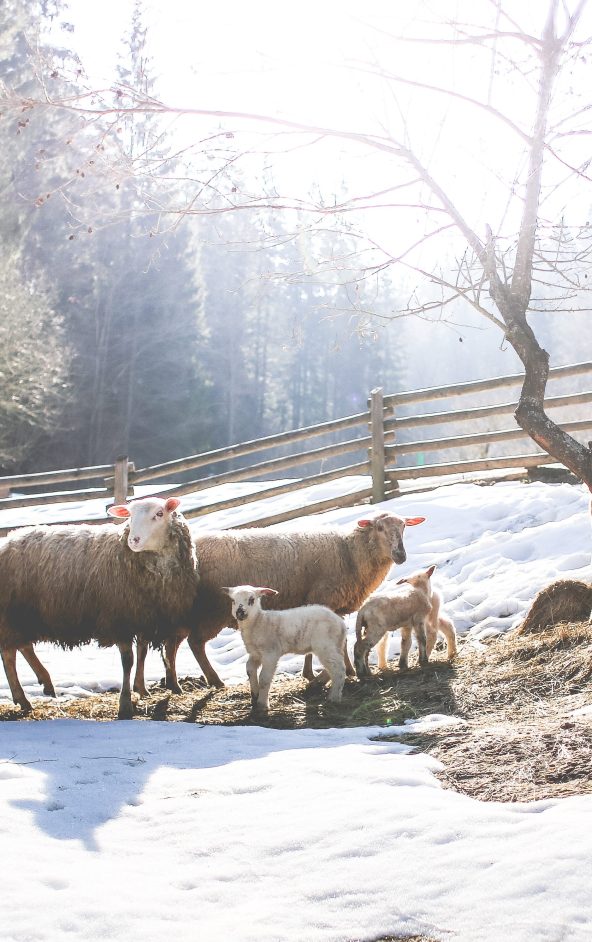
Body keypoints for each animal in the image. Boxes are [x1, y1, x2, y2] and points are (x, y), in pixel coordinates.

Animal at [0, 498, 199, 720]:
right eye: (129, 516)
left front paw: (141, 688)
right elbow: (128, 660)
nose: (133, 540)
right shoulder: (121, 617)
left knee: (23, 646)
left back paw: (45, 683)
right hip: (11, 613)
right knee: (9, 654)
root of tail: (7, 541)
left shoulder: (144, 615)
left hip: (25, 614)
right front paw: (125, 704)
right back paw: (23, 699)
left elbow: (143, 651)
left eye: (159, 514)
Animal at [133, 512, 426, 696]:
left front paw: (321, 673)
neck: (351, 552)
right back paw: (214, 681)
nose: (401, 555)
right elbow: (336, 643)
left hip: (182, 612)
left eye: (404, 527)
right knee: (194, 643)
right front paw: (337, 672)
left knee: (171, 646)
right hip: (209, 611)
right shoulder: (323, 597)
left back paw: (173, 685)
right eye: (379, 528)